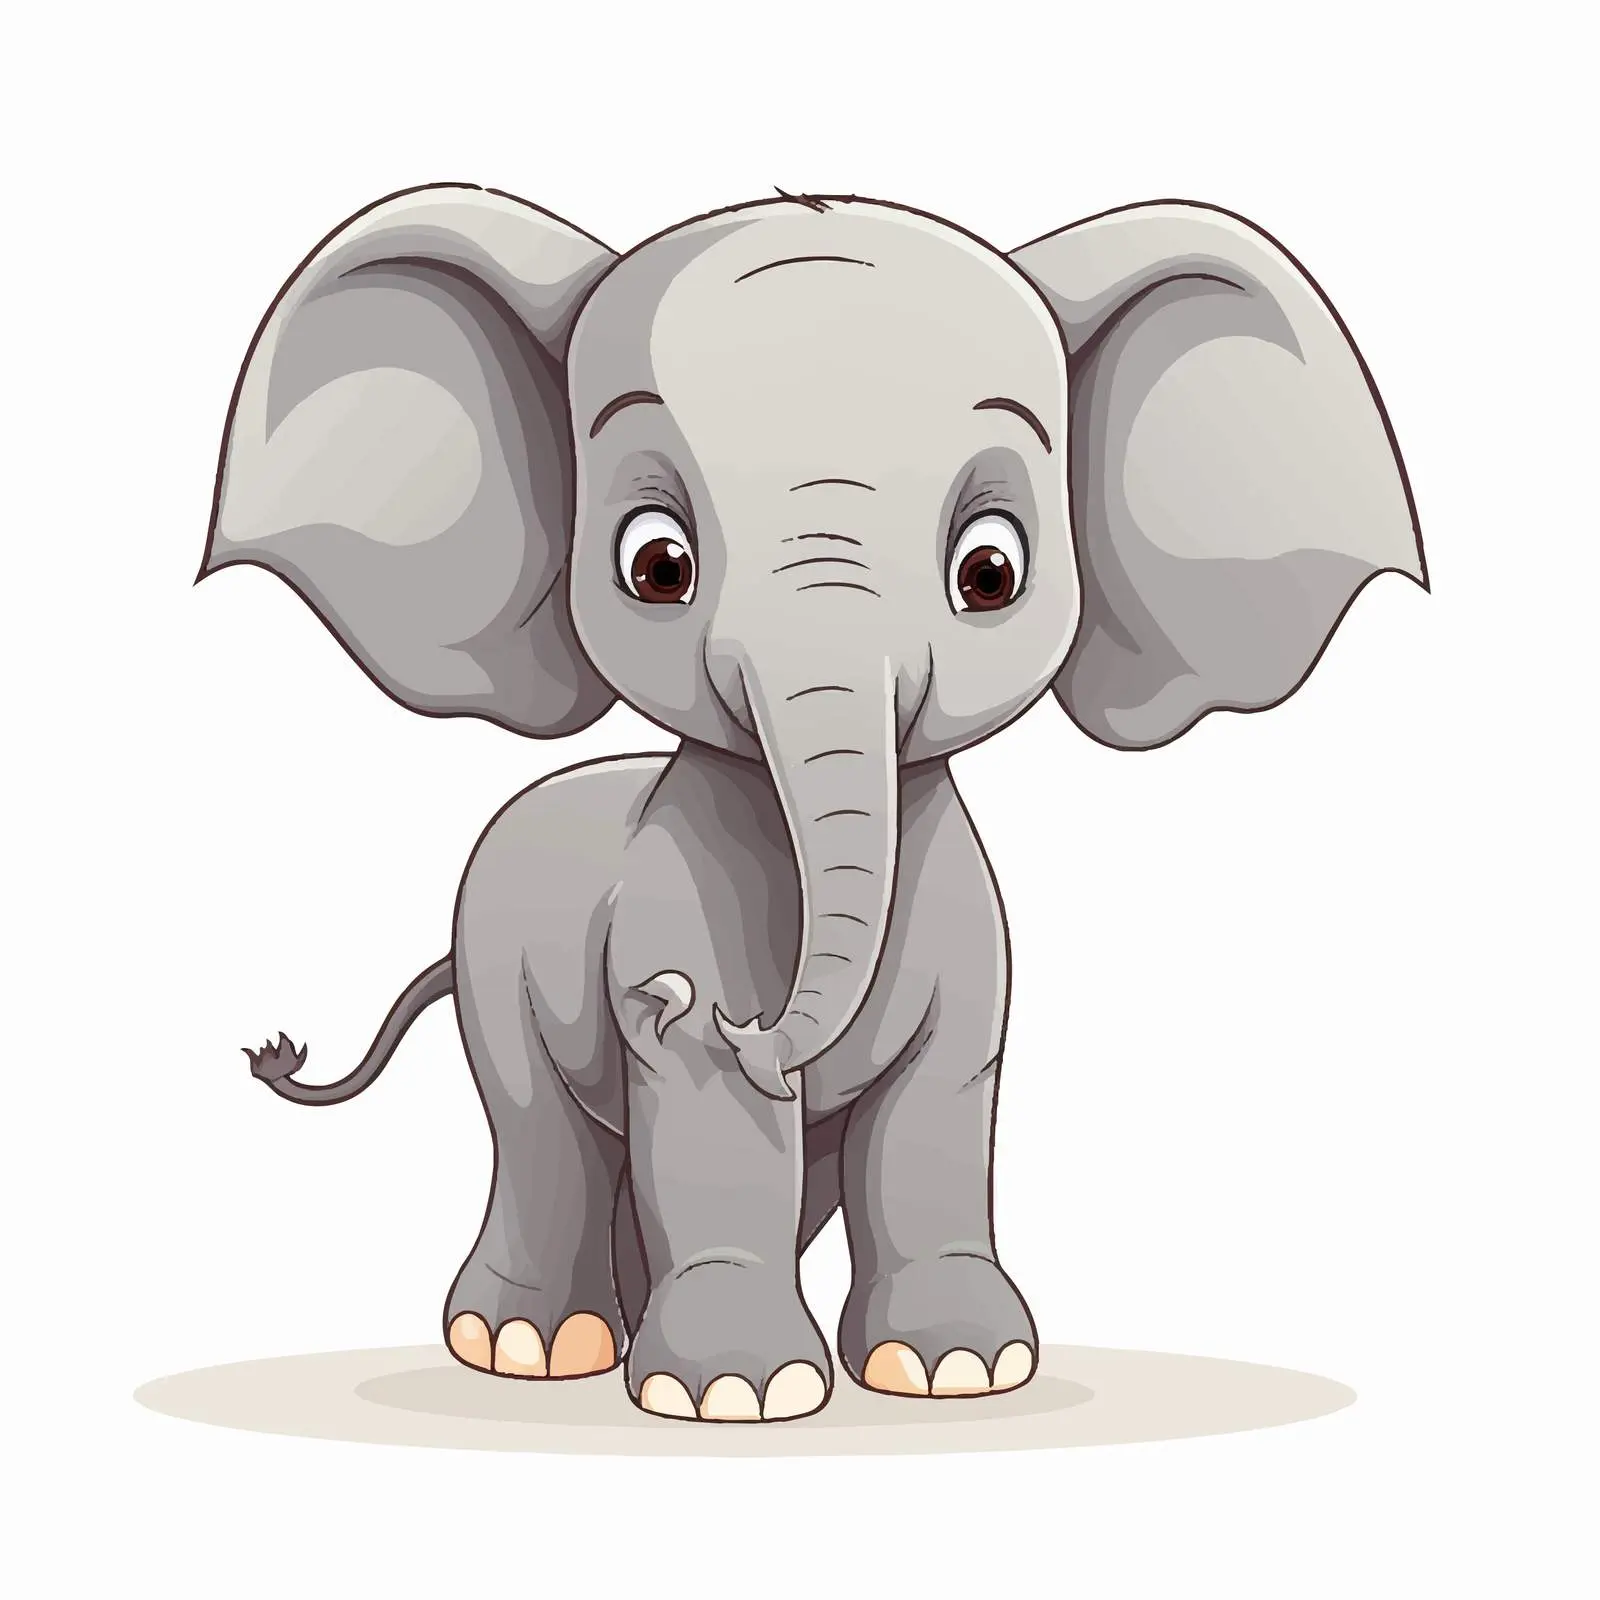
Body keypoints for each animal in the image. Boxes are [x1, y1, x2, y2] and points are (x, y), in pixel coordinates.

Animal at [203, 184, 1425, 1423]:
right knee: (539, 1128)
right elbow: (714, 1123)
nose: (691, 1008)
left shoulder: (965, 931)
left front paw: (955, 1371)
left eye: (992, 573)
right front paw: (739, 1394)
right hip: (494, 966)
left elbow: (938, 1102)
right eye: (656, 566)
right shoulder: (672, 897)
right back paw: (532, 1346)